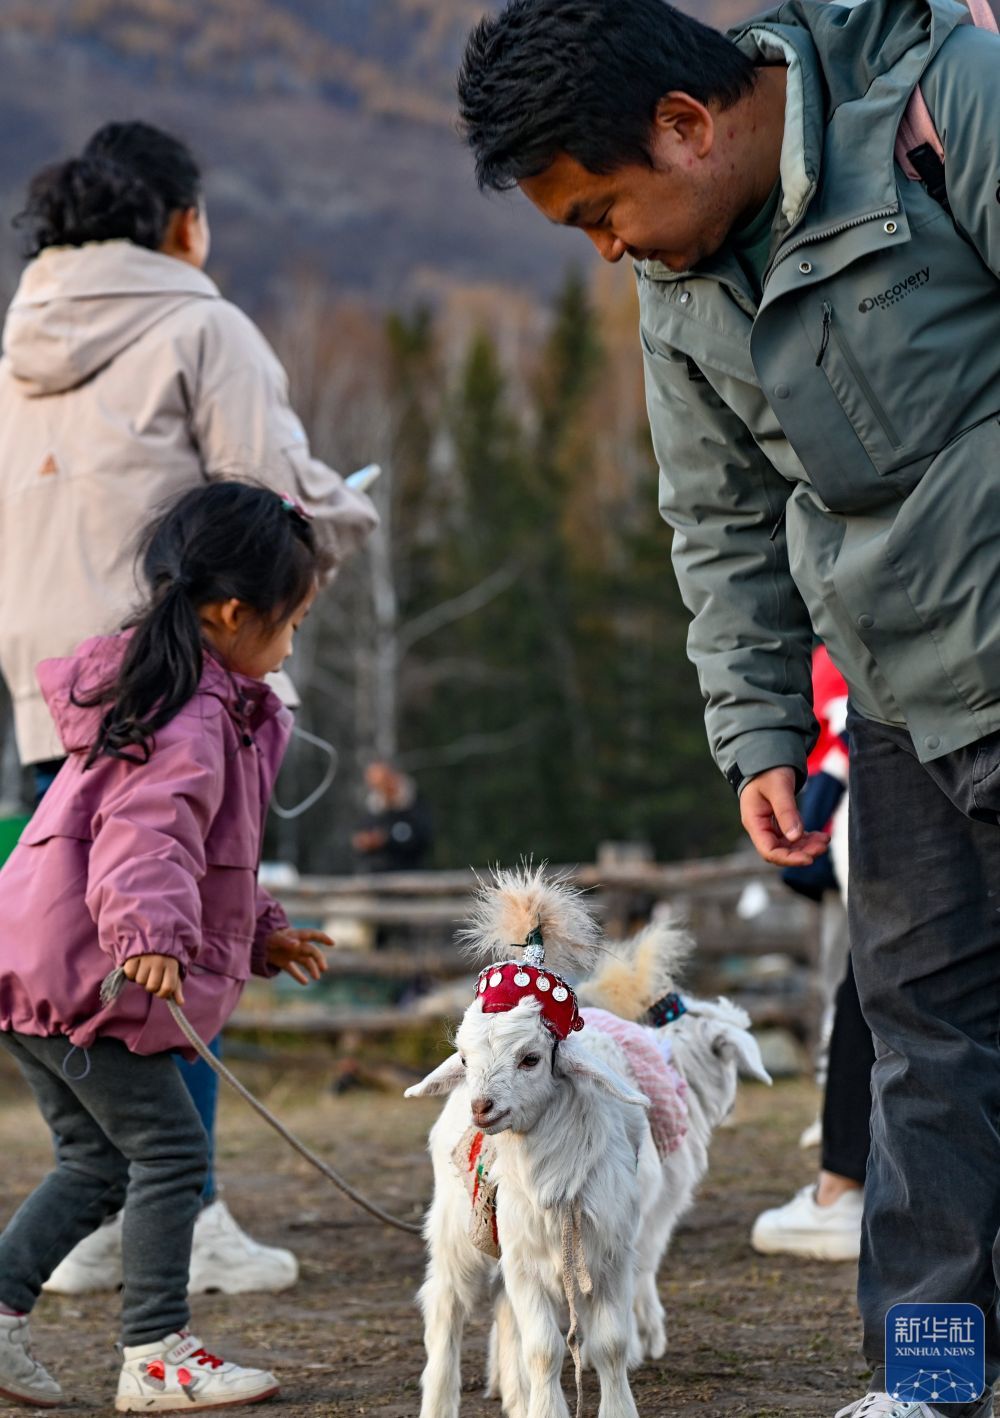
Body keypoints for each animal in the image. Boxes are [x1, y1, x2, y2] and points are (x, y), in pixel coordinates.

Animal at [402, 873, 765, 1418]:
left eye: (531, 1058)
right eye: (463, 1058)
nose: (482, 1107)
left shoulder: (608, 1250)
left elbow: (606, 1341)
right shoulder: (538, 1256)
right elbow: (545, 1347)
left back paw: (513, 1394)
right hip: (456, 1226)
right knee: (445, 1309)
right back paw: (442, 1402)